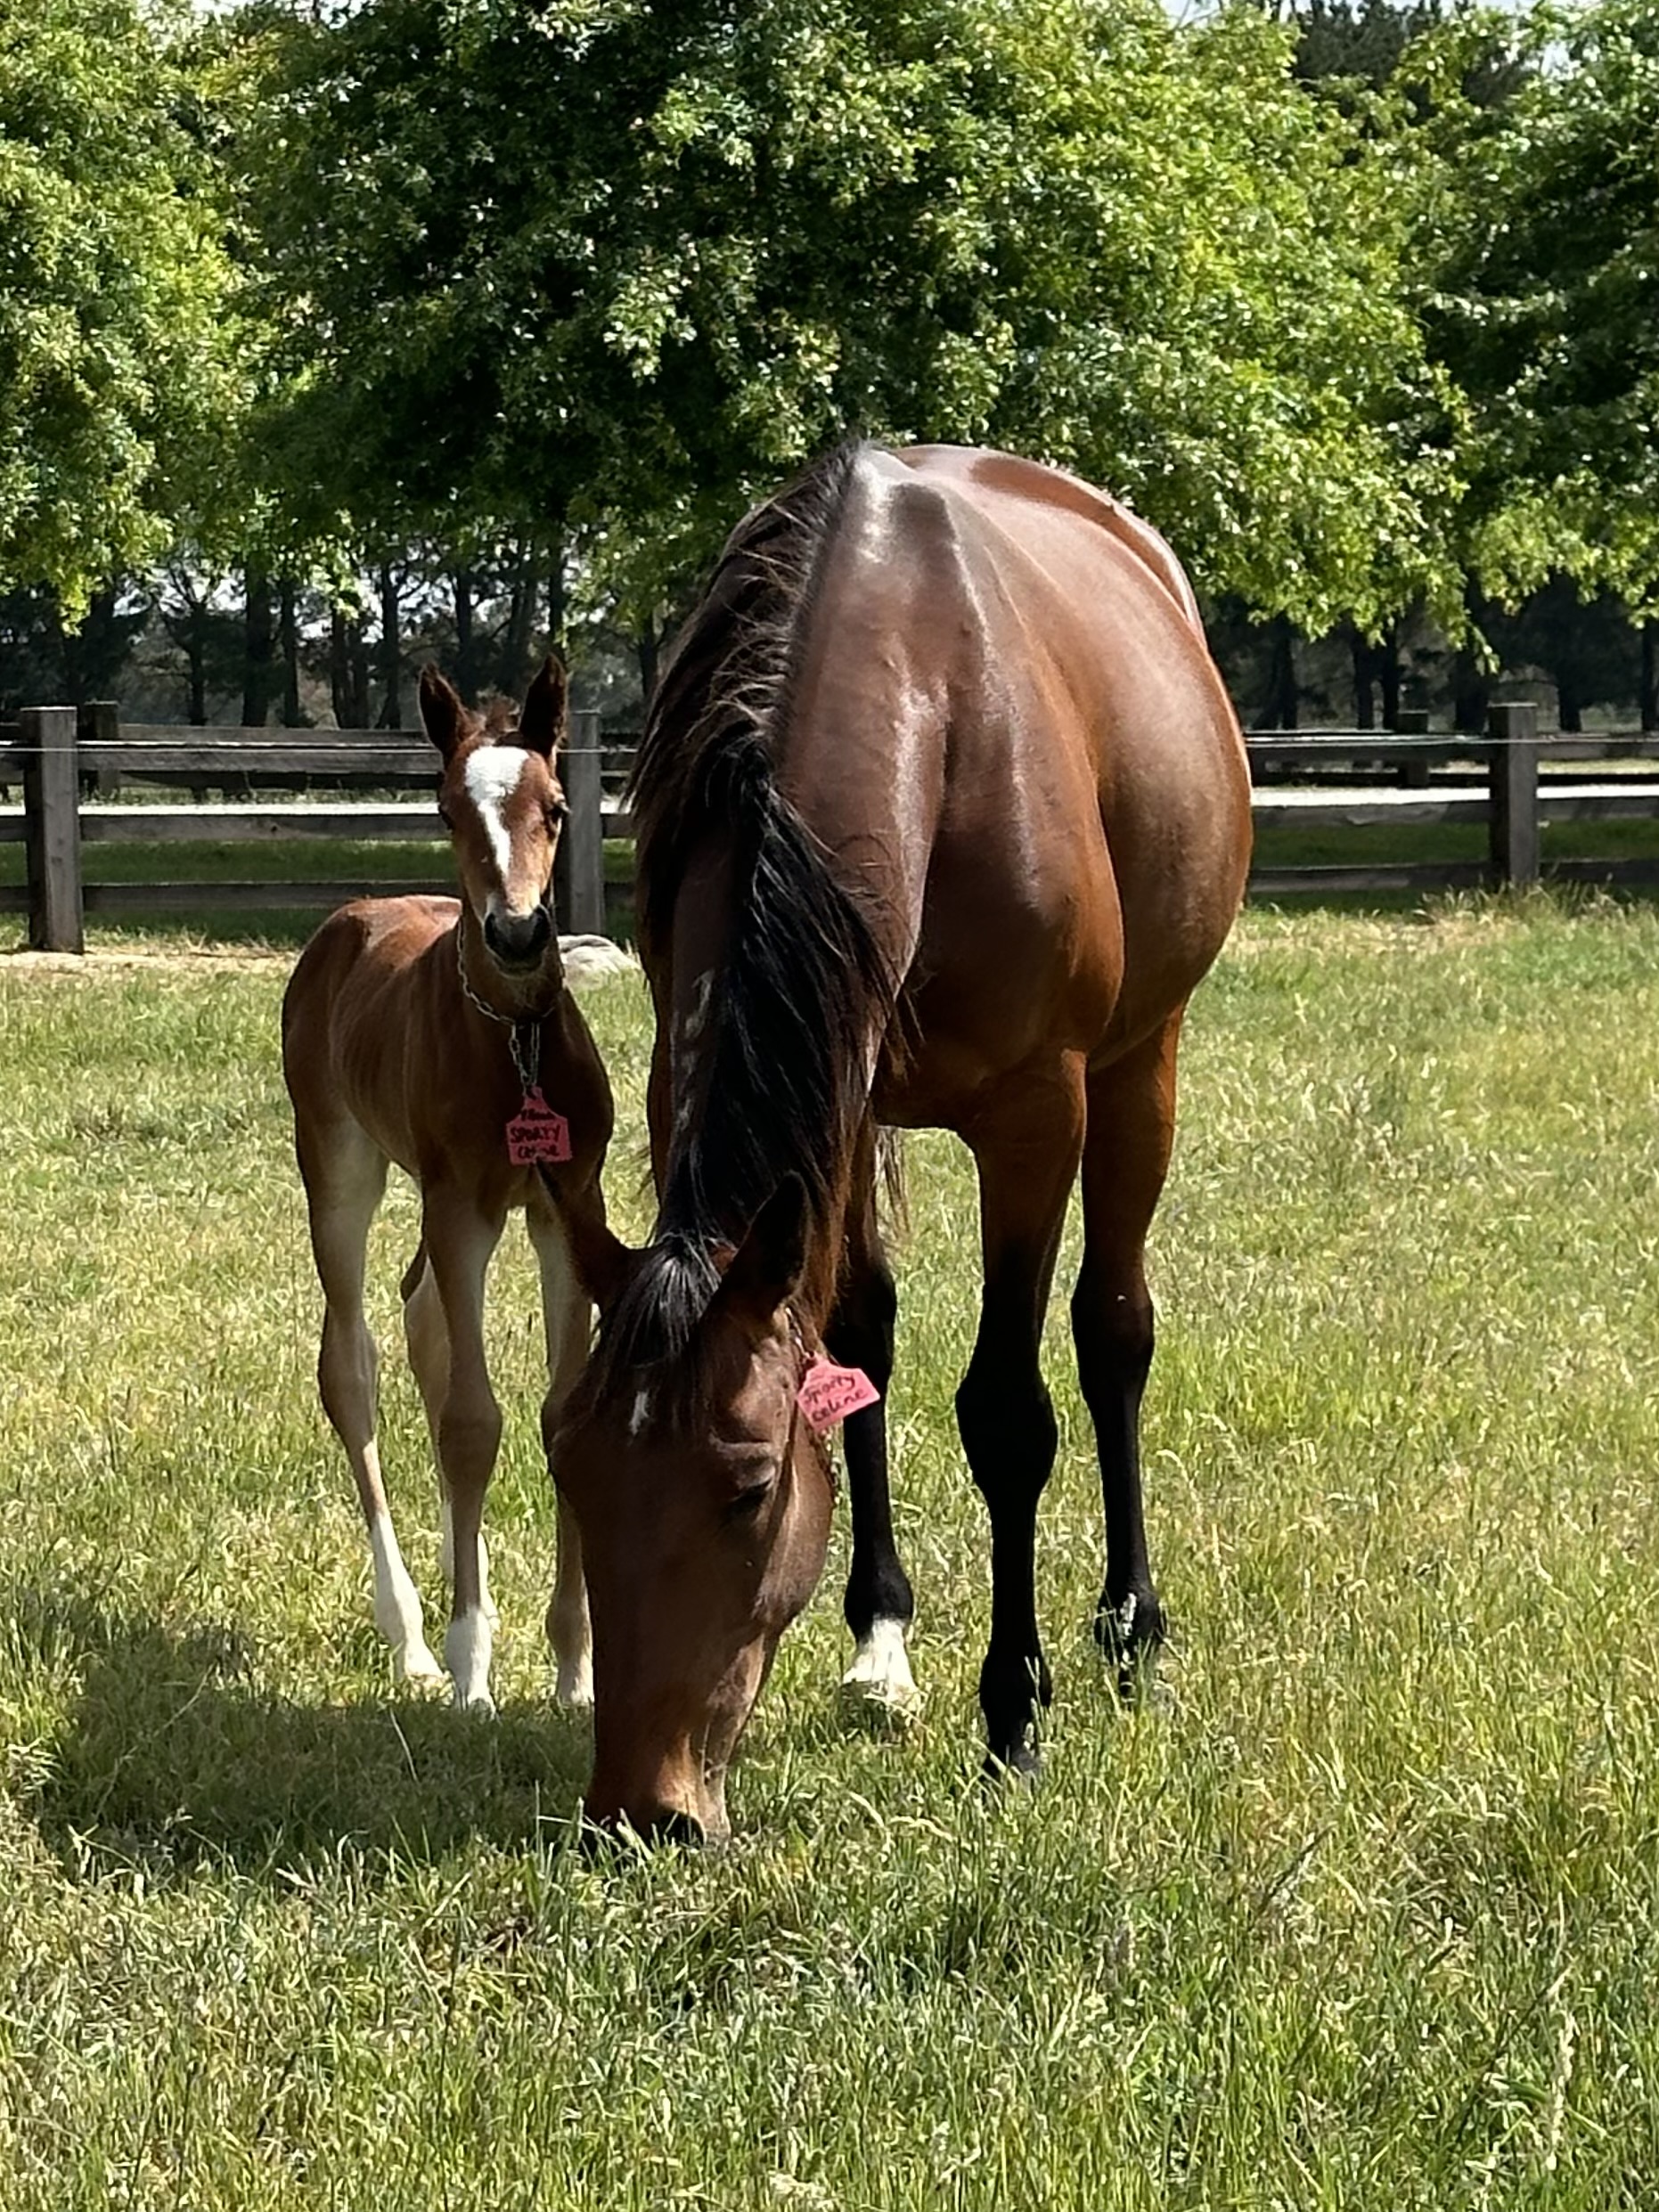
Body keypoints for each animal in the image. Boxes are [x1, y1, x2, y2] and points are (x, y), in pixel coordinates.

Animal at [282, 658, 614, 1713]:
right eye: (447, 810)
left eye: (556, 808)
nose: (516, 931)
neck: (513, 1044)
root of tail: (349, 920)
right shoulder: (462, 1205)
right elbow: (473, 1420)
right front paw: (474, 1668)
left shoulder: (563, 1207)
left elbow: (561, 1412)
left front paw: (574, 1666)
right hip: (340, 1165)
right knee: (352, 1364)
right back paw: (414, 1637)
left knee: (423, 1315)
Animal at [549, 443, 1252, 1842]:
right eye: (570, 1467)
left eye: (746, 1486)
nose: (641, 1811)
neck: (926, 703)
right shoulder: (804, 1091)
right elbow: (853, 1350)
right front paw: (881, 1639)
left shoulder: (1036, 1115)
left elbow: (1007, 1411)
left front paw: (1012, 1714)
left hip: (1142, 1061)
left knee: (1113, 1327)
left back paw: (1128, 1627)